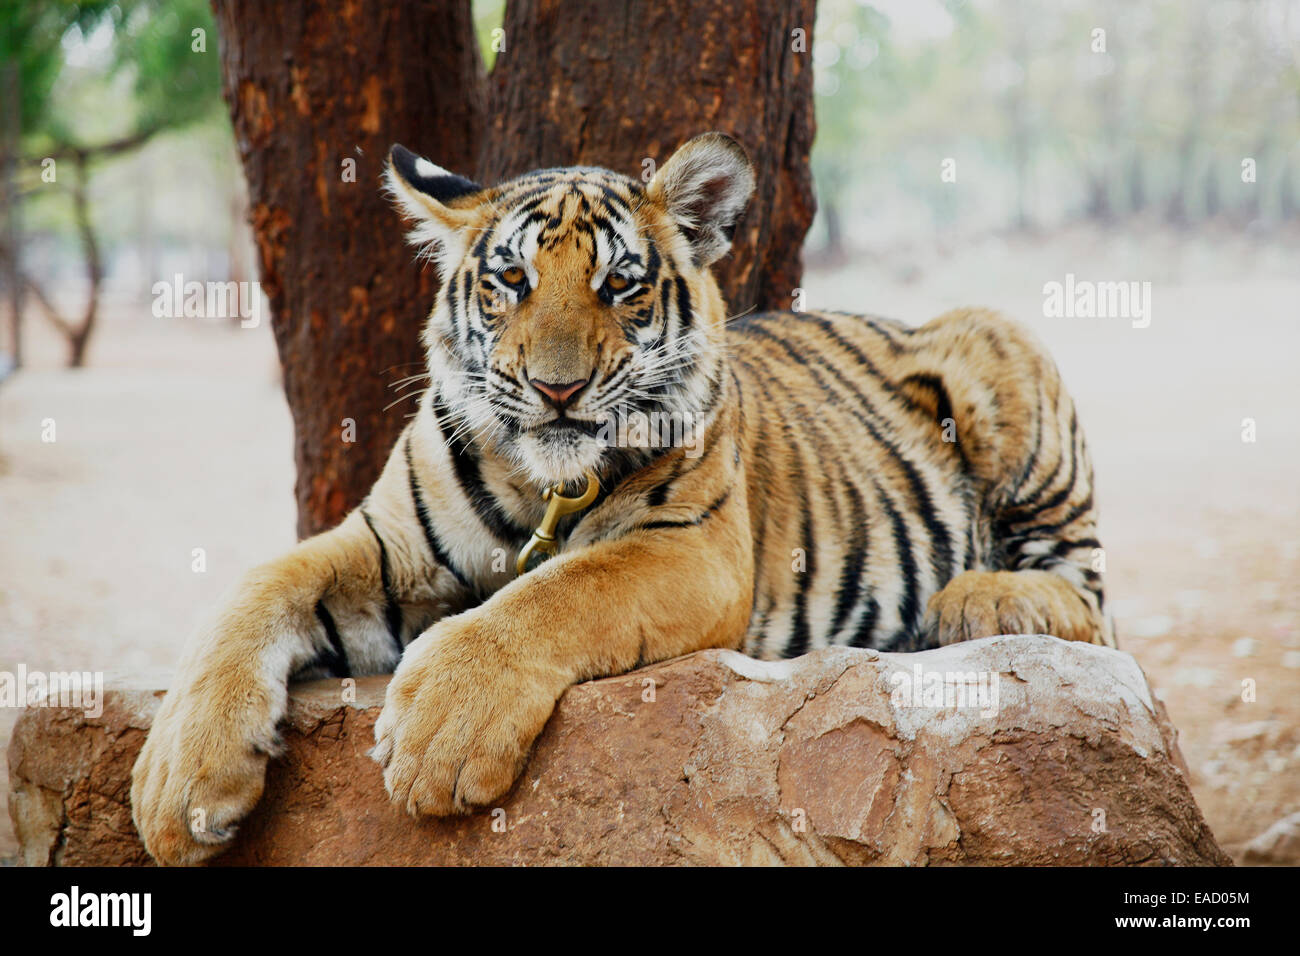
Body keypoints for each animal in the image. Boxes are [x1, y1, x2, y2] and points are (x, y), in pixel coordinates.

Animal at [131, 130, 1112, 863]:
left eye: (620, 286)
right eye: (512, 281)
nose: (557, 388)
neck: (539, 484)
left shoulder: (691, 548)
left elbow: (556, 591)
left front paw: (441, 730)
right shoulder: (389, 543)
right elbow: (255, 588)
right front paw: (177, 783)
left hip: (997, 348)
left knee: (1091, 601)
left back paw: (981, 600)